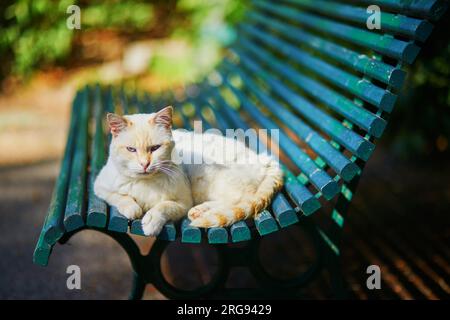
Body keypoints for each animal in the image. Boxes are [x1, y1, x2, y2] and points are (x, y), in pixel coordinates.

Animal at [94, 106, 284, 236]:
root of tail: (264, 158)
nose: (144, 164)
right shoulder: (99, 186)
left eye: (155, 148)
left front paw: (151, 220)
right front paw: (132, 208)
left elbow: (164, 205)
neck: (146, 183)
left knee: (241, 199)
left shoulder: (183, 204)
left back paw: (202, 210)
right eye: (131, 150)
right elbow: (119, 197)